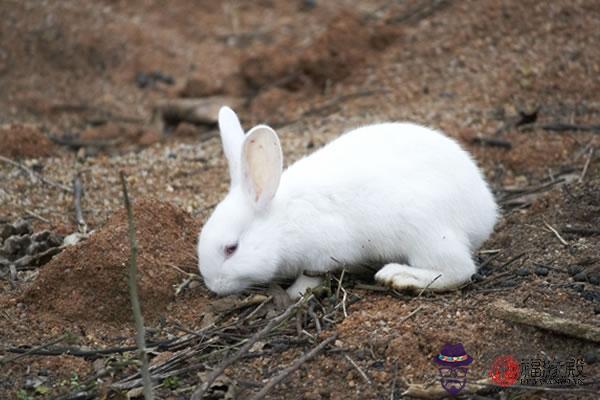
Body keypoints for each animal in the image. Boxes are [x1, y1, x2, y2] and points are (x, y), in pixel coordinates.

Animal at [197, 106, 496, 296]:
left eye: (231, 249)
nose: (213, 286)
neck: (281, 222)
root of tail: (486, 211)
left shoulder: (321, 254)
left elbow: (311, 277)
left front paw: (294, 293)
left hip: (426, 232)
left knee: (458, 270)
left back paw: (399, 276)